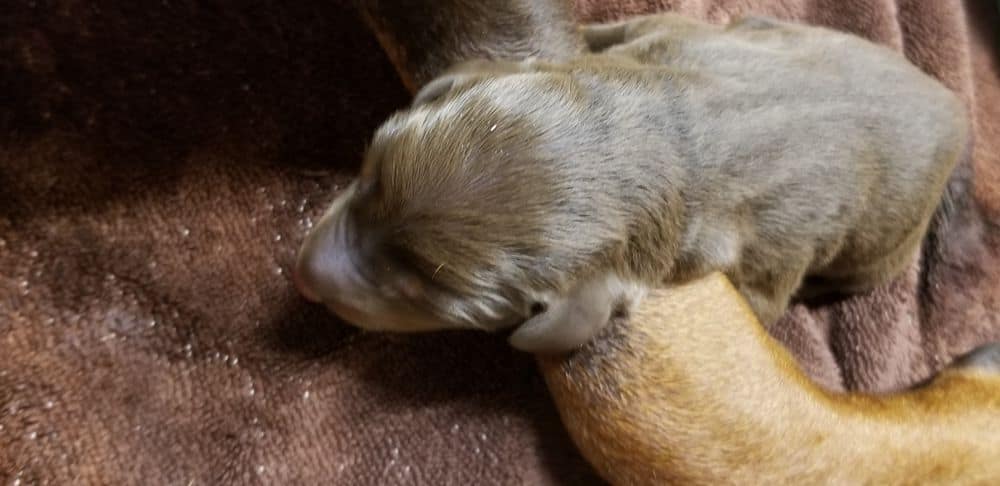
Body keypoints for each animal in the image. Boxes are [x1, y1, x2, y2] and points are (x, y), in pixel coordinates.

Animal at [292, 11, 964, 354]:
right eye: (369, 173)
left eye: (419, 293)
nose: (303, 277)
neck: (673, 129)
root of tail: (953, 105)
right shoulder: (664, 36)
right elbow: (627, 27)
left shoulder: (753, 264)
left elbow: (762, 294)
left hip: (884, 249)